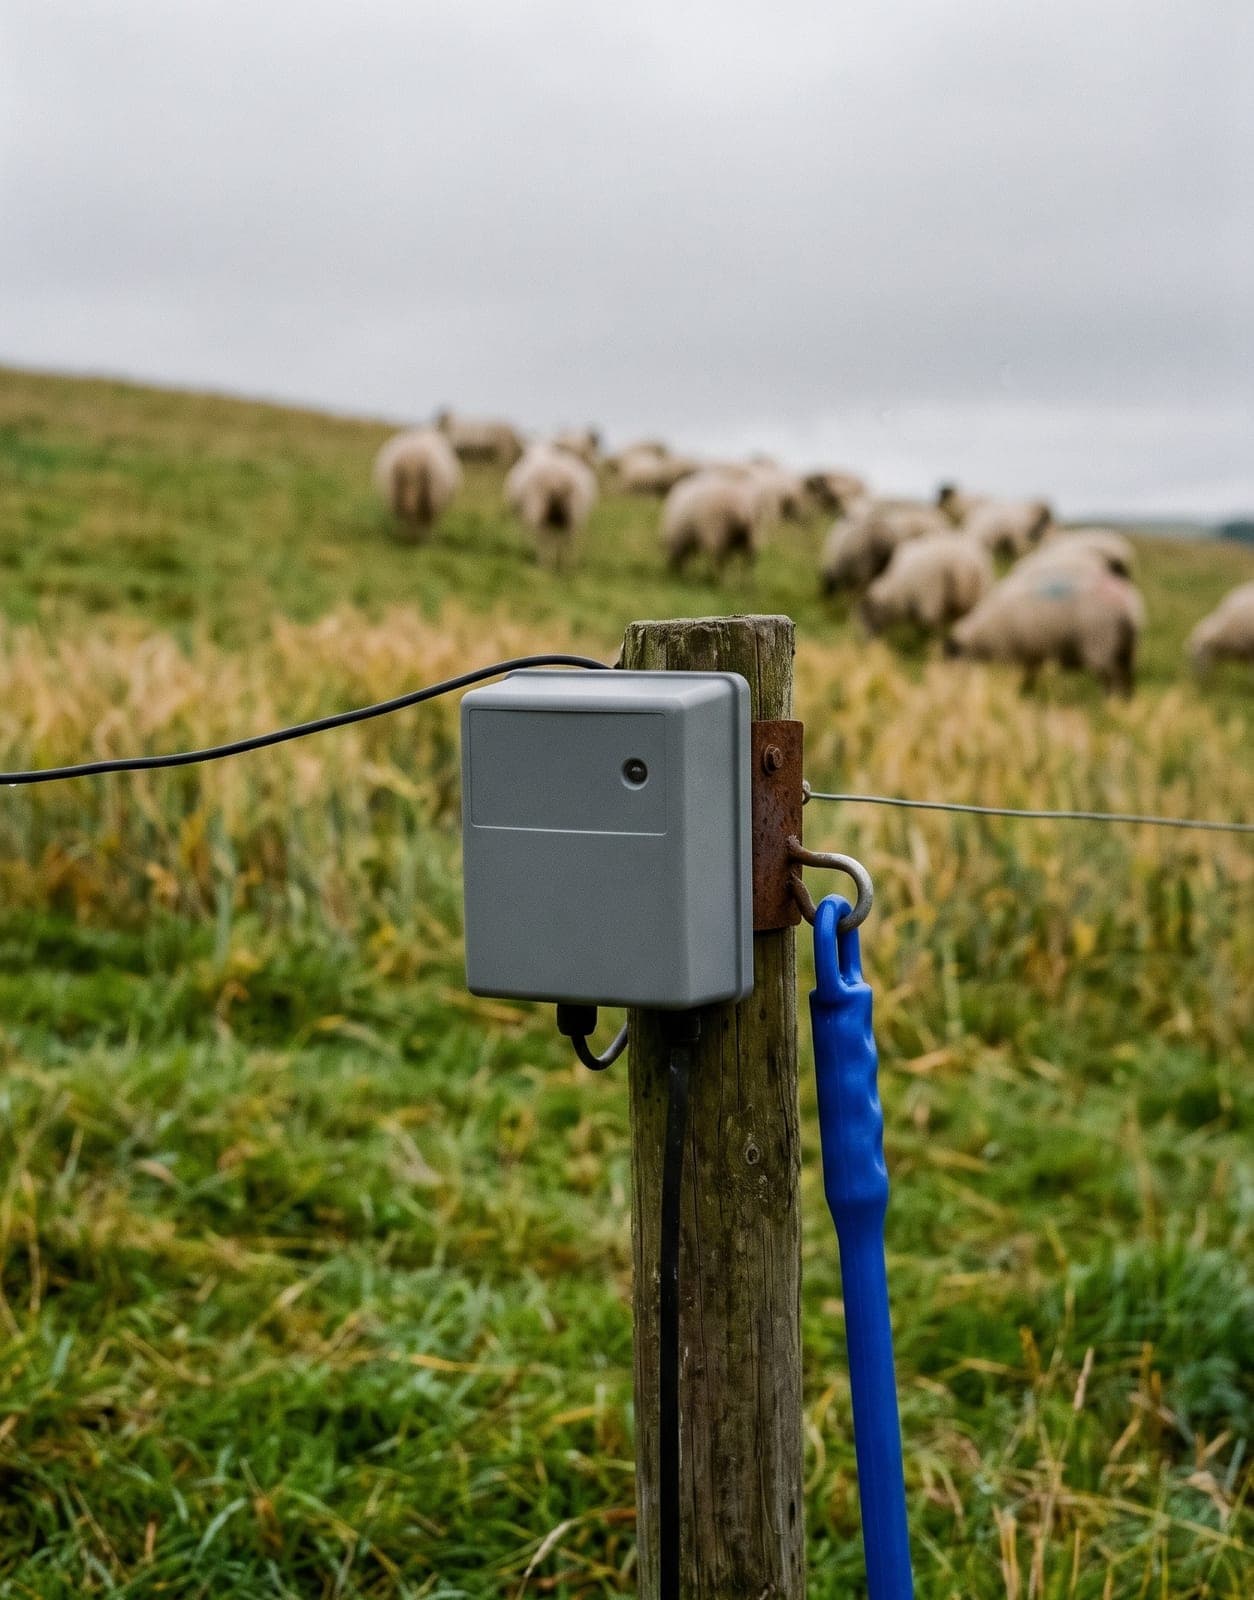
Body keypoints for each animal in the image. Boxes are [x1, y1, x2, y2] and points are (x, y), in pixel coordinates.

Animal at [946, 562, 1145, 695]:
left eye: (953, 657)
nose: (953, 690)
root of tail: (1128, 607)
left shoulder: (1013, 650)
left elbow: (1022, 674)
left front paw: (1021, 692)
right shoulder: (1032, 650)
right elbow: (1030, 673)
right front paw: (1026, 691)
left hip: (1101, 646)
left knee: (1111, 679)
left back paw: (1110, 703)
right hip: (1125, 648)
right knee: (1126, 677)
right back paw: (1125, 705)